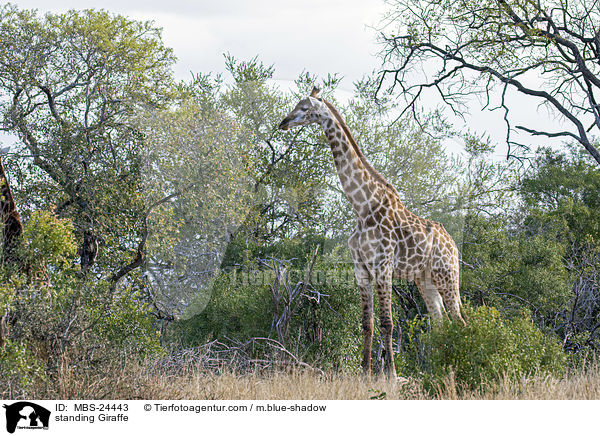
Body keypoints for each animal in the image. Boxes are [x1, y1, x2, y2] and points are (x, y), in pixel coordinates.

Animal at [278, 87, 466, 376]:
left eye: (305, 108)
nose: (284, 122)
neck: (362, 206)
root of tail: (453, 245)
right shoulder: (361, 269)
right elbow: (367, 324)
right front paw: (365, 374)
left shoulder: (383, 265)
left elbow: (388, 323)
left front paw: (391, 376)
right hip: (424, 279)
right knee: (441, 322)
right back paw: (441, 370)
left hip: (446, 273)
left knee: (459, 321)